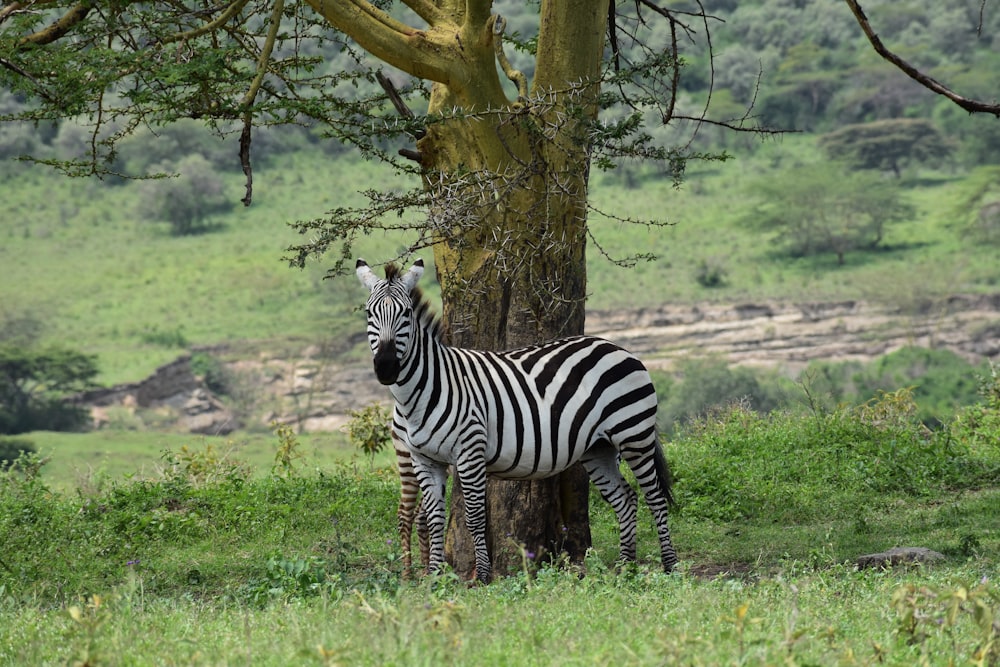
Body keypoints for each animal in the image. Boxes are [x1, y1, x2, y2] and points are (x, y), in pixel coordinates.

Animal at [356, 258, 676, 580]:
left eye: (406, 313)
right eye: (369, 313)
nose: (386, 368)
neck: (424, 391)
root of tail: (615, 347)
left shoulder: (470, 453)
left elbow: (474, 518)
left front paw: (482, 577)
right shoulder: (424, 460)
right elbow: (434, 519)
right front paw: (434, 577)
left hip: (633, 433)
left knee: (655, 497)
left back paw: (669, 565)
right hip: (598, 448)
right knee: (626, 499)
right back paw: (626, 567)